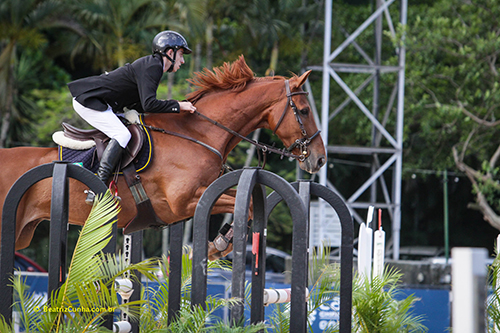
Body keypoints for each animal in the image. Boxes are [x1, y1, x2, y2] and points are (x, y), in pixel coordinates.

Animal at [0, 55, 324, 258]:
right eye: (305, 111)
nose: (319, 160)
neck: (198, 134)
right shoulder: (184, 201)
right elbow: (247, 207)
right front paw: (218, 246)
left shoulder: (203, 193)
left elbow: (245, 204)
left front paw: (219, 244)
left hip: (22, 233)